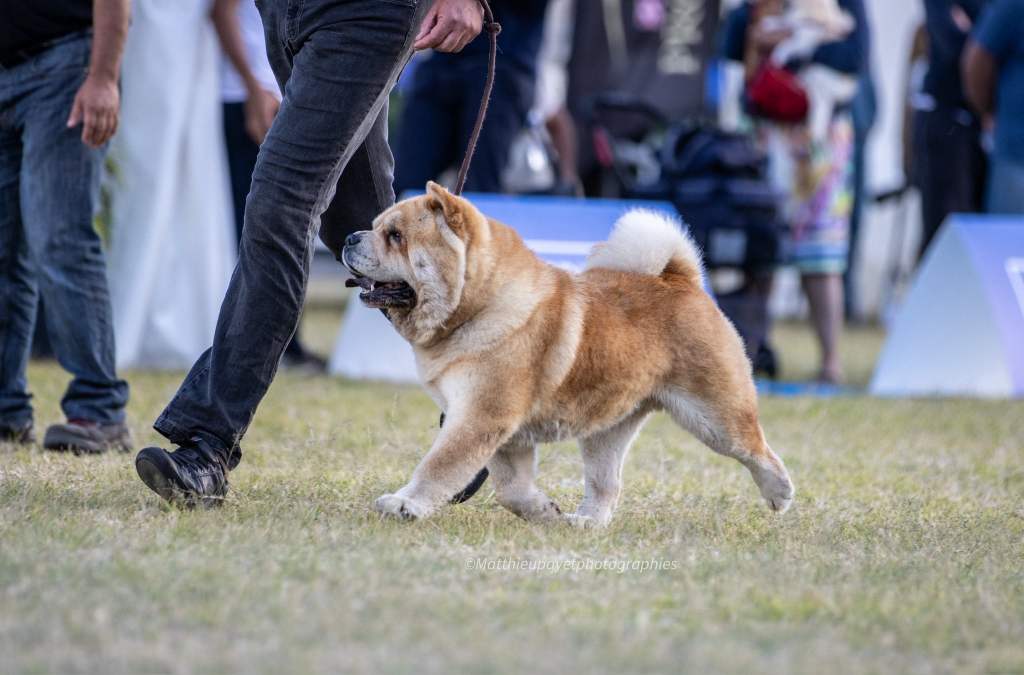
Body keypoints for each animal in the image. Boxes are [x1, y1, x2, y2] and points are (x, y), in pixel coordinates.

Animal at [342, 182, 794, 526]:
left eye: (395, 236)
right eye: (376, 226)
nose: (349, 237)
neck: (478, 305)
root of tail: (682, 280)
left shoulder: (479, 417)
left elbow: (438, 465)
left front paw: (405, 503)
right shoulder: (499, 430)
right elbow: (512, 488)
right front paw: (544, 511)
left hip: (714, 416)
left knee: (756, 449)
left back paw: (780, 493)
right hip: (605, 433)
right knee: (606, 485)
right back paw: (585, 522)